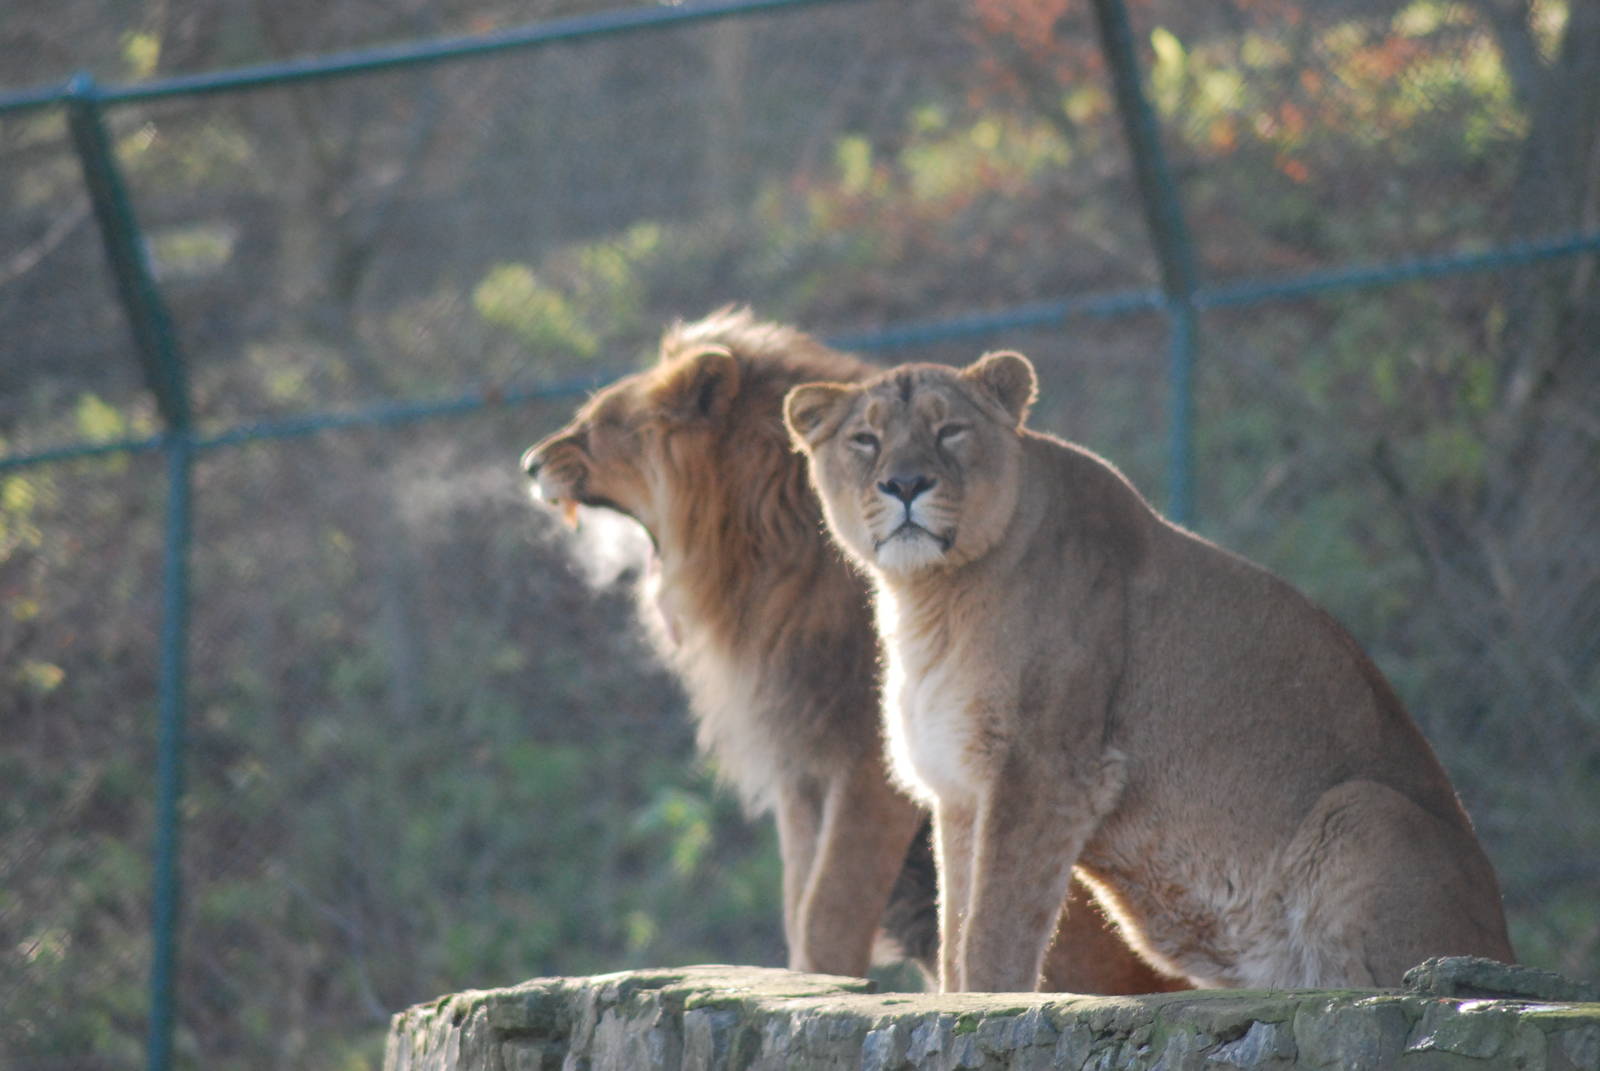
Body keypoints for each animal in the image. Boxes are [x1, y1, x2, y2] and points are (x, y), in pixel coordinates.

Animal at [521, 310, 1180, 992]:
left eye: (595, 426)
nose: (529, 463)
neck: (761, 550)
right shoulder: (802, 770)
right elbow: (800, 900)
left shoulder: (868, 766)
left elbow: (829, 907)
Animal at [783, 350, 1515, 993]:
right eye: (866, 439)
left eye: (949, 430)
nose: (905, 484)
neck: (930, 596)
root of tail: (1503, 947)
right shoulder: (963, 789)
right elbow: (957, 923)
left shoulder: (1047, 768)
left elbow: (995, 925)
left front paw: (984, 1007)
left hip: (1361, 809)